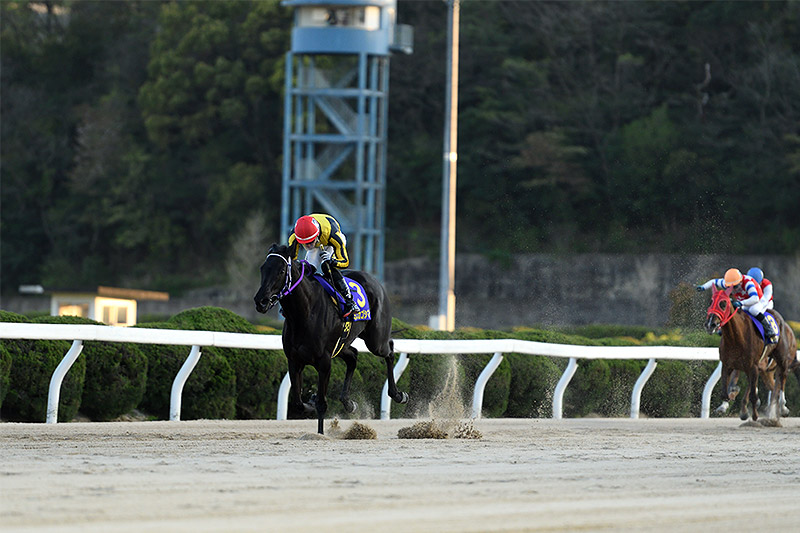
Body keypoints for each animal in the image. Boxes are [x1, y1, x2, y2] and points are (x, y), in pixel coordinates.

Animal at [255, 243, 410, 434]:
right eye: (263, 268)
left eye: (281, 270)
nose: (260, 301)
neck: (305, 313)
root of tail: (373, 279)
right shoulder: (294, 360)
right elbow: (298, 402)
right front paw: (311, 401)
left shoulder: (324, 362)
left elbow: (322, 403)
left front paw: (321, 433)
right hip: (342, 344)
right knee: (353, 356)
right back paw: (348, 402)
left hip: (376, 340)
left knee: (389, 350)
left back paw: (398, 395)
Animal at [708, 286, 792, 420]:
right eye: (711, 301)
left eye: (723, 303)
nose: (711, 324)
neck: (736, 337)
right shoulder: (728, 365)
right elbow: (726, 392)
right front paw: (727, 404)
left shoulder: (753, 367)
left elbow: (752, 394)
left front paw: (754, 415)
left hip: (782, 359)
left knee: (782, 380)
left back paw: (783, 408)